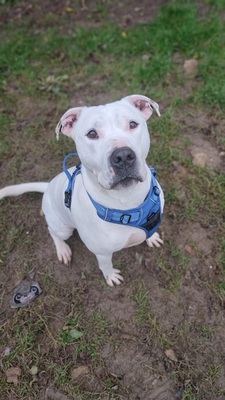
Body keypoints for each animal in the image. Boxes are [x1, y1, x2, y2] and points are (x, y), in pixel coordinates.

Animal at [0, 95, 164, 286]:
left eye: (132, 124)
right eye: (92, 134)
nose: (123, 156)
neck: (127, 201)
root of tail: (48, 187)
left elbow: (150, 231)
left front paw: (152, 237)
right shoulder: (102, 253)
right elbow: (105, 266)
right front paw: (110, 276)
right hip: (63, 228)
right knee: (52, 232)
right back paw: (63, 249)